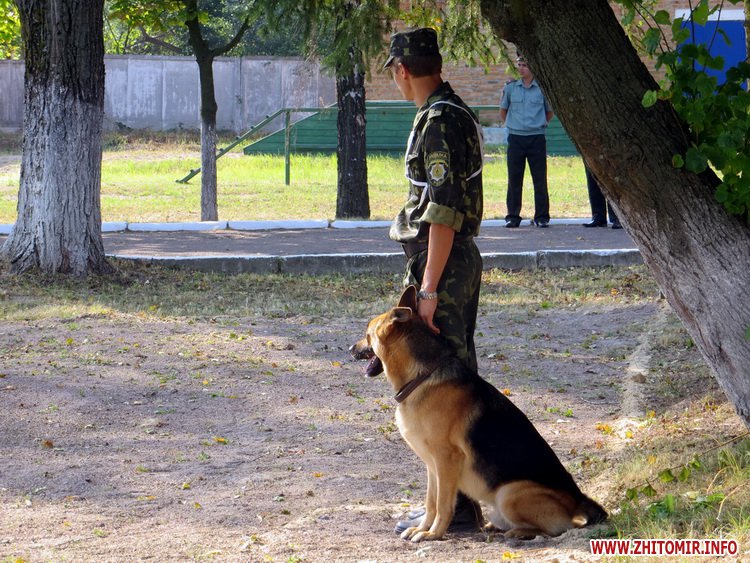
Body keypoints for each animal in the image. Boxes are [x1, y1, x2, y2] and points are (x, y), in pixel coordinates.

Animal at [350, 286, 607, 542]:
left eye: (368, 335)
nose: (349, 349)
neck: (423, 376)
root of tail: (579, 500)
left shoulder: (445, 460)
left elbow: (443, 504)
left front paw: (433, 534)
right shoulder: (432, 466)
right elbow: (431, 502)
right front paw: (422, 528)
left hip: (509, 493)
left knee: (557, 529)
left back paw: (518, 531)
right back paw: (496, 526)